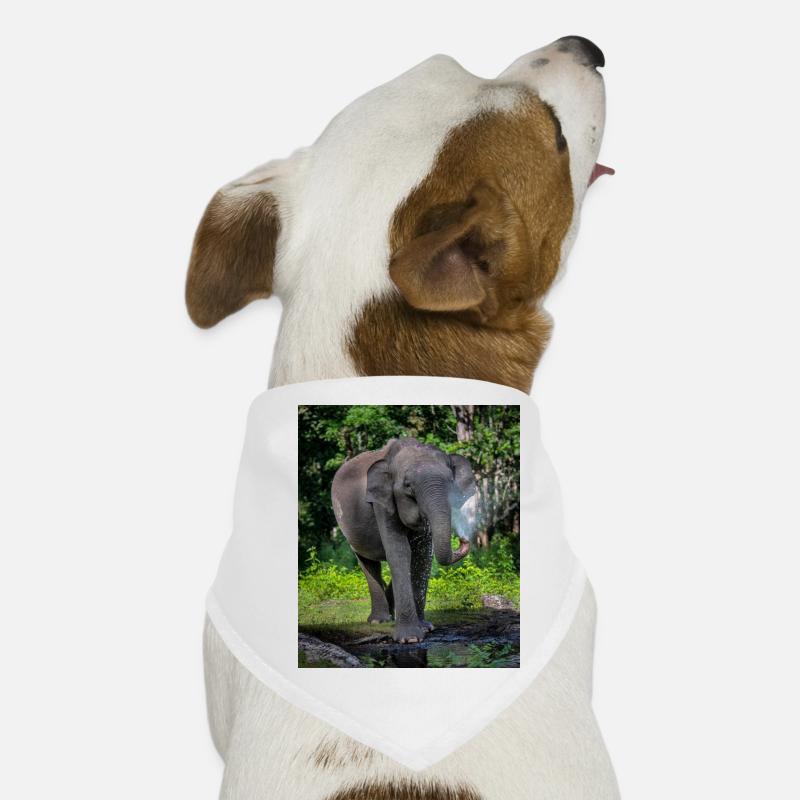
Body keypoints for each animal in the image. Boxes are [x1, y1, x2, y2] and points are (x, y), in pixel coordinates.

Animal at [331, 437, 477, 643]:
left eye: (451, 482)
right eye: (408, 485)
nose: (463, 540)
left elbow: (421, 556)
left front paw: (426, 628)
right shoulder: (381, 502)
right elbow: (400, 552)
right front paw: (410, 638)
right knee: (367, 563)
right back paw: (379, 620)